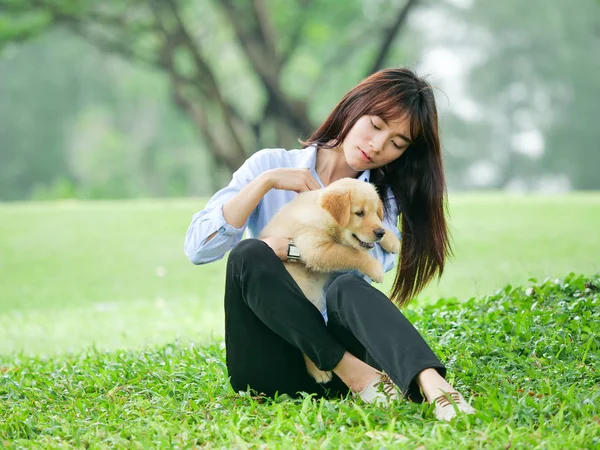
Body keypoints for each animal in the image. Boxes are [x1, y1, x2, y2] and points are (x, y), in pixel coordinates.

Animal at [260, 178, 400, 382]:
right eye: (359, 213)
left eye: (376, 212)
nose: (380, 232)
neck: (324, 214)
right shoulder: (316, 248)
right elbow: (351, 252)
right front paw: (375, 268)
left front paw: (392, 240)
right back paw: (319, 373)